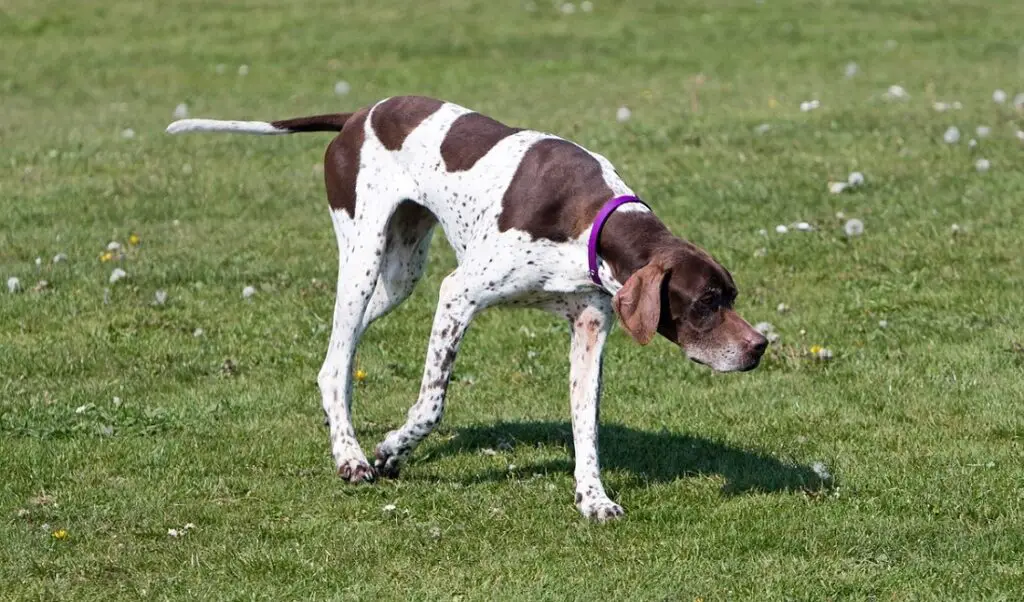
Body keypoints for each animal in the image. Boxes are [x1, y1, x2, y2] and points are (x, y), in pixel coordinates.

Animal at [163, 96, 765, 520]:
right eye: (706, 302)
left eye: (731, 296)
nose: (759, 347)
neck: (591, 220)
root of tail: (358, 114)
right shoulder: (459, 294)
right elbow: (431, 405)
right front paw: (391, 448)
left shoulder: (591, 329)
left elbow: (586, 426)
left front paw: (593, 498)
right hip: (362, 258)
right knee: (336, 363)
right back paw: (351, 457)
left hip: (399, 278)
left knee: (337, 356)